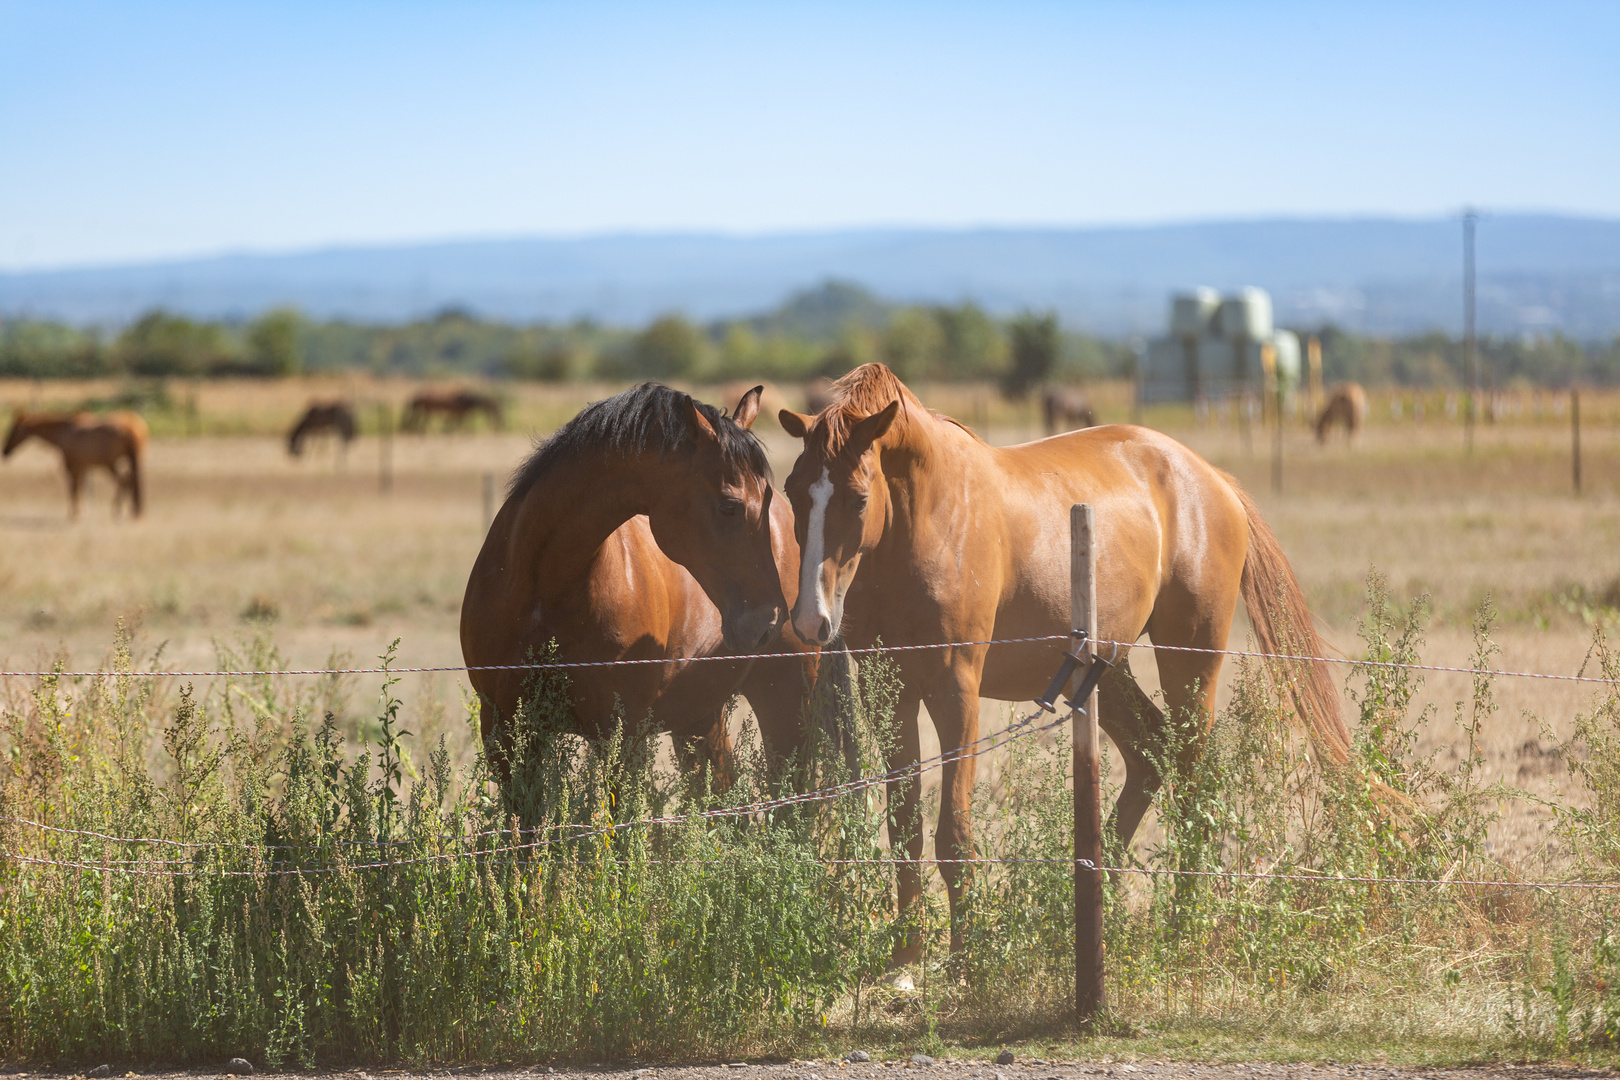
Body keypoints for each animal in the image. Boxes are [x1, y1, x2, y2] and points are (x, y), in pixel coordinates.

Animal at [2, 409, 149, 518]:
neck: (64, 432)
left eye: (13, 430)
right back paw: (130, 510)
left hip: (110, 465)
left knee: (124, 482)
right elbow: (81, 489)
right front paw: (82, 512)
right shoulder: (82, 468)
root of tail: (133, 426)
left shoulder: (71, 467)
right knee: (129, 482)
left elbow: (73, 489)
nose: (5, 451)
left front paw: (74, 514)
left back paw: (117, 511)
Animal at [456, 383, 835, 790]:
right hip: (701, 718)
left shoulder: (622, 737)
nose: (769, 621)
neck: (544, 587)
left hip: (786, 705)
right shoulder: (506, 735)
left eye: (765, 499)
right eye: (728, 505)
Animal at [777, 365, 1347, 965]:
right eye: (792, 491)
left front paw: (966, 962)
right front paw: (906, 960)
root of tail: (1212, 478)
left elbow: (953, 836)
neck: (931, 521)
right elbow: (904, 829)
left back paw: (1182, 925)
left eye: (859, 498)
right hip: (1104, 670)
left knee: (1194, 772)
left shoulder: (956, 691)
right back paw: (1102, 906)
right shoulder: (890, 694)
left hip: (1188, 663)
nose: (811, 620)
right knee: (1151, 756)